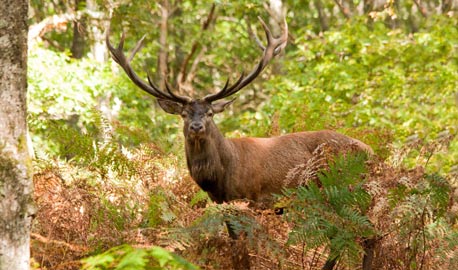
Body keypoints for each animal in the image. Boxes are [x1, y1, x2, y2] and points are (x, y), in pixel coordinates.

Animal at [105, 16, 374, 270]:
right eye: (183, 114)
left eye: (210, 113)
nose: (196, 126)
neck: (220, 176)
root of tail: (370, 151)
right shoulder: (223, 204)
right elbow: (235, 245)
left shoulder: (250, 200)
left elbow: (247, 247)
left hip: (338, 191)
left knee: (355, 232)